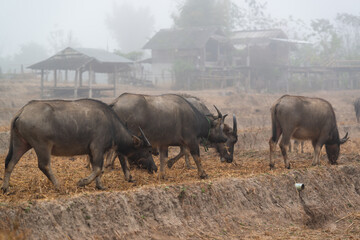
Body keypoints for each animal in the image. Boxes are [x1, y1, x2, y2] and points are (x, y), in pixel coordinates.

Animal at [0, 98, 152, 192]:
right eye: (146, 150)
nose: (154, 168)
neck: (111, 124)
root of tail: (22, 111)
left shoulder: (93, 151)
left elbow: (99, 169)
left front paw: (100, 186)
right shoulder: (97, 148)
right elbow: (98, 169)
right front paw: (82, 182)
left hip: (21, 143)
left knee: (10, 162)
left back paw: (6, 188)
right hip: (42, 146)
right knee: (44, 165)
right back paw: (58, 185)